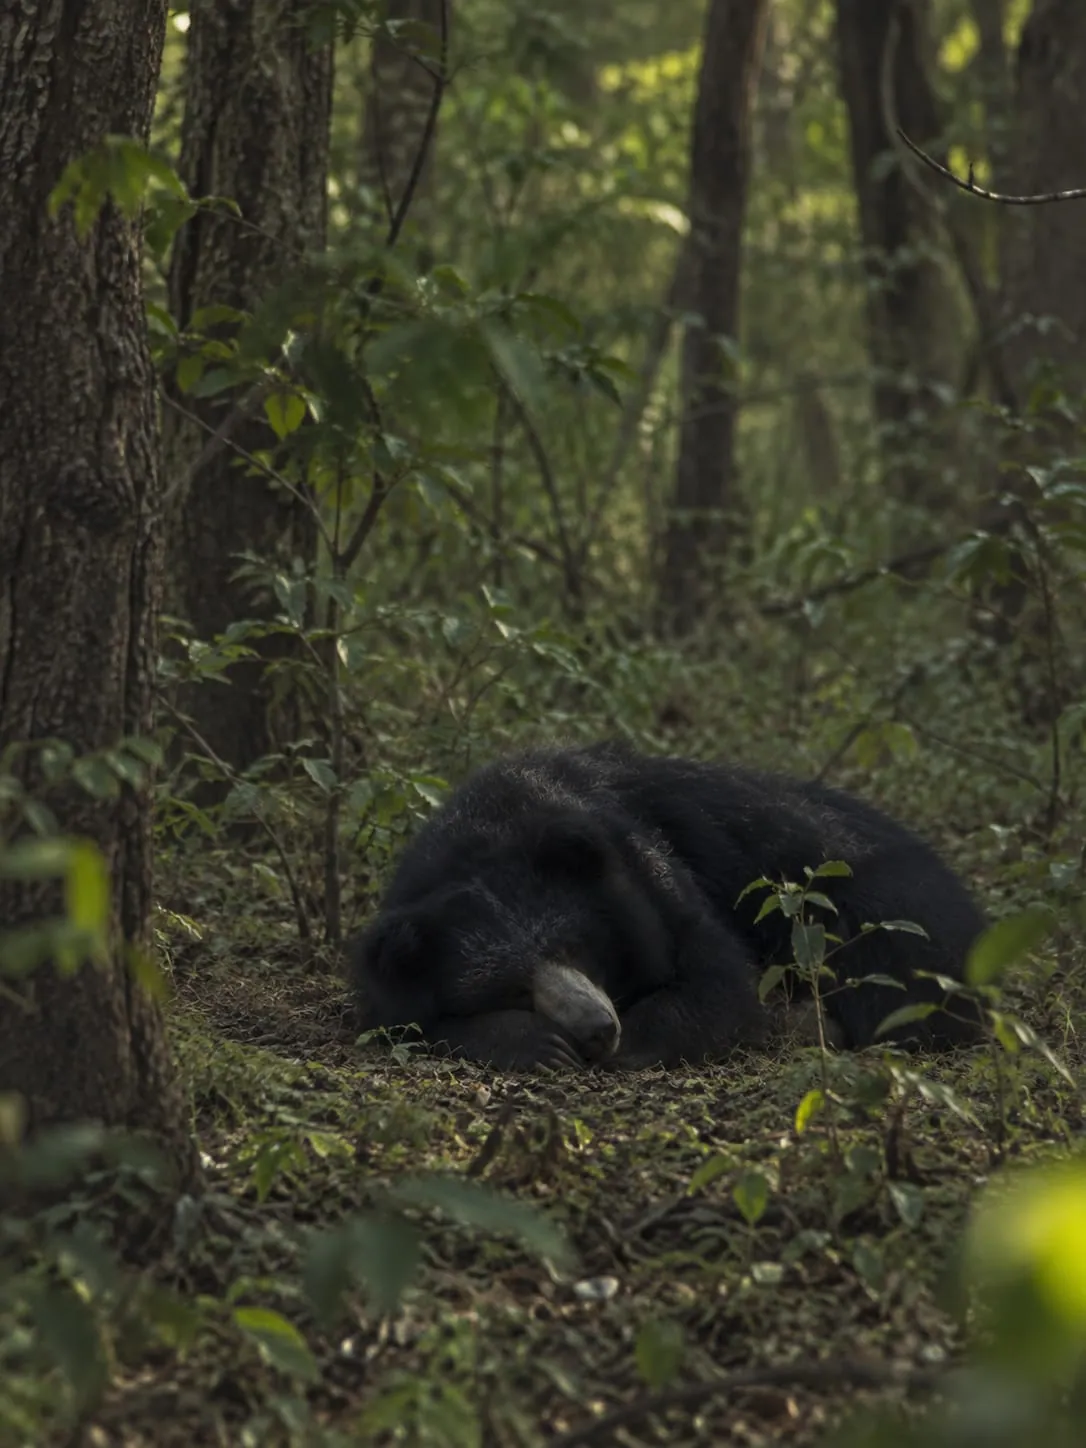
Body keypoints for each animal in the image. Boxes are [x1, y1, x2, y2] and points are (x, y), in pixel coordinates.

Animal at [347, 740, 987, 1070]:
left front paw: (633, 1039)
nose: (597, 1029)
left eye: (576, 945)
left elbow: (717, 982)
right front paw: (537, 1044)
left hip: (882, 912)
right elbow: (401, 1019)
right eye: (510, 988)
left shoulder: (646, 868)